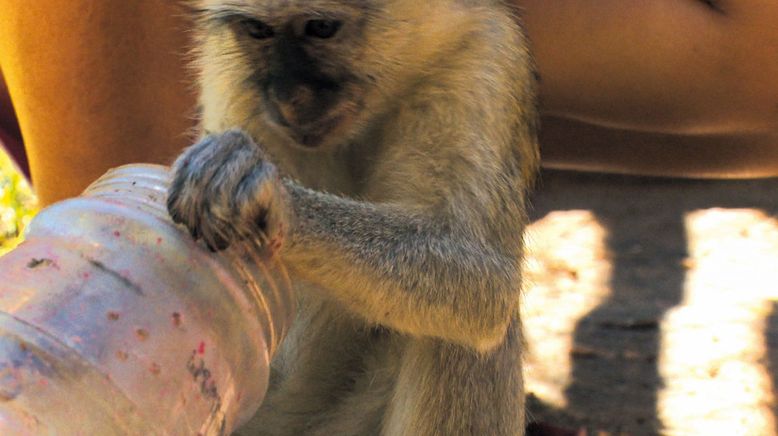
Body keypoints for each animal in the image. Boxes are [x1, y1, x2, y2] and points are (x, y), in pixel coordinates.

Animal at [167, 1, 536, 434]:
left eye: (321, 28)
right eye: (258, 31)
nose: (287, 100)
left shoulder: (484, 58)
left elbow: (485, 288)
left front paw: (277, 201)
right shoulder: (225, 73)